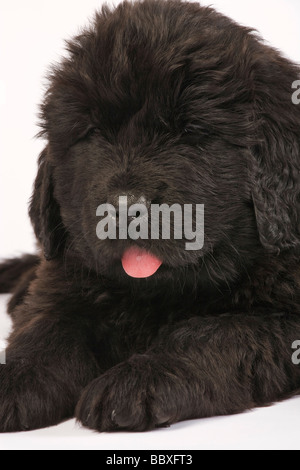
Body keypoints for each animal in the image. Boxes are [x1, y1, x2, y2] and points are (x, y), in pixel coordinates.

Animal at [0, 0, 300, 434]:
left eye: (190, 131)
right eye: (93, 132)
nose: (125, 207)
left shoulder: (283, 319)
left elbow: (213, 332)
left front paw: (139, 378)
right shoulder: (66, 280)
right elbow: (45, 326)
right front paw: (15, 376)